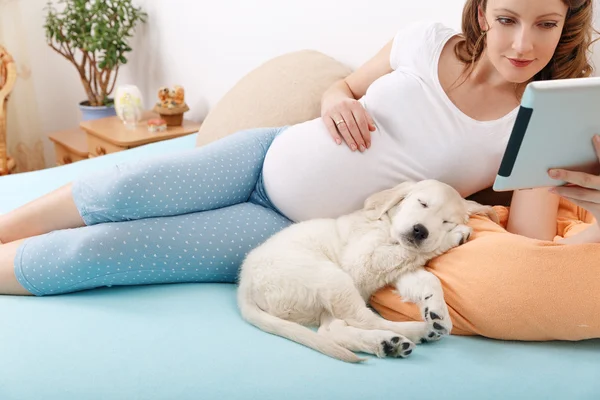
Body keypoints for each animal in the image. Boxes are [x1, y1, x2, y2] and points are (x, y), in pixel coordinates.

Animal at [237, 180, 494, 360]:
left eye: (445, 221)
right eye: (422, 203)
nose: (420, 231)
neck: (387, 225)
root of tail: (244, 287)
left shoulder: (397, 268)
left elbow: (427, 278)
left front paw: (437, 311)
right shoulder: (362, 262)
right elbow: (411, 253)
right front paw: (455, 236)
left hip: (325, 299)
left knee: (331, 331)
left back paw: (389, 343)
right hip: (332, 277)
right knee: (364, 319)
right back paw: (417, 331)